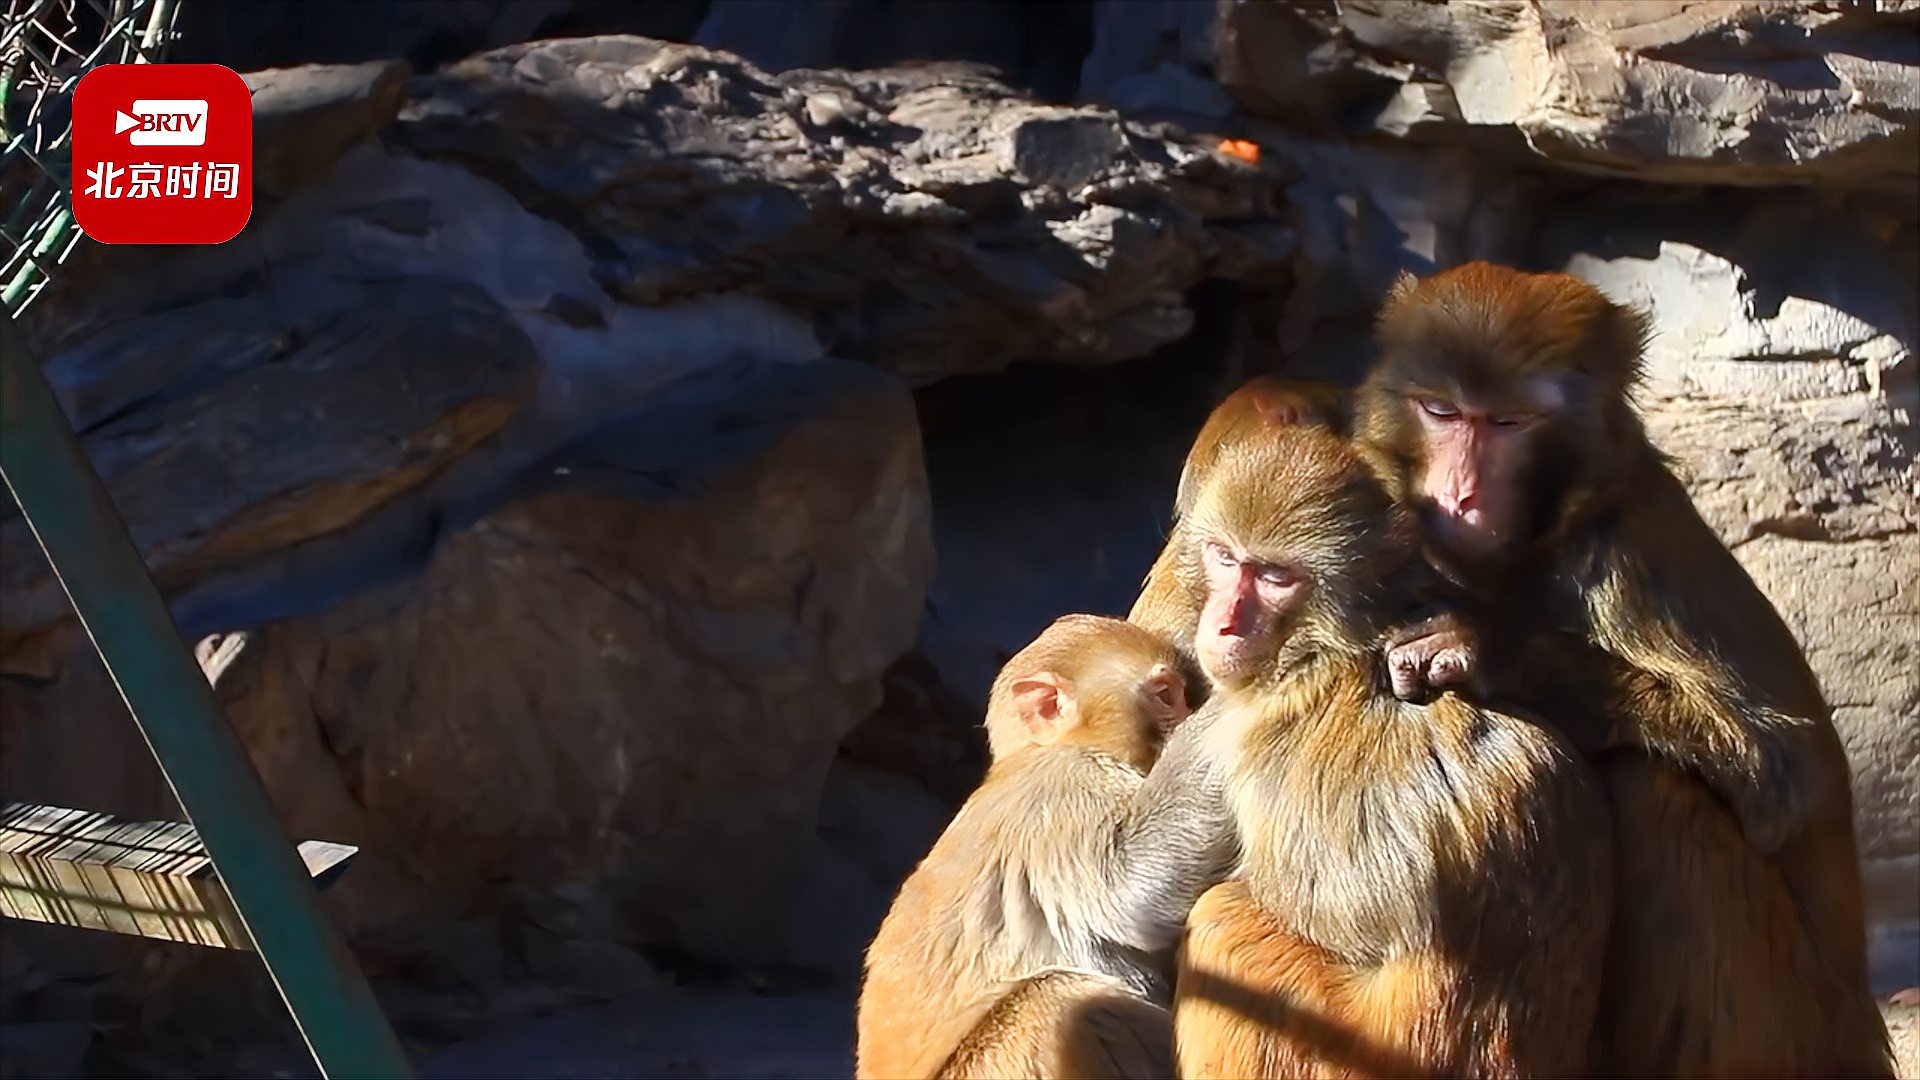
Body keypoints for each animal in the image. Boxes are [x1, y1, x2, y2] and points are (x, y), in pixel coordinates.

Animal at [860, 611, 1213, 1068]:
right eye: (1167, 695)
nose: (1191, 709)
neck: (1038, 750)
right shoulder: (1063, 790)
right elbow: (1129, 888)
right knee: (1062, 1002)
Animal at [1152, 422, 1620, 1076]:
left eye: (1274, 578)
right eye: (1224, 558)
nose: (1224, 624)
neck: (1325, 640)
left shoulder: (1232, 730)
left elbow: (1353, 903)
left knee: (1225, 924)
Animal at [1367, 263, 1889, 1076]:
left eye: (1507, 423)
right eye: (1442, 411)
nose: (1461, 494)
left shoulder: (1625, 558)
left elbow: (1790, 771)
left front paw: (1505, 655)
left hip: (1799, 1026)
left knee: (1656, 795)